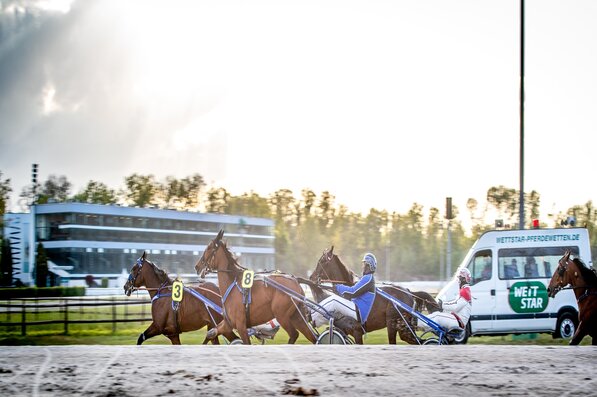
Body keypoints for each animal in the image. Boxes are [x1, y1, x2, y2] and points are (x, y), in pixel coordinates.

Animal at [310, 244, 440, 344]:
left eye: (322, 261)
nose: (311, 277)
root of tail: (408, 291)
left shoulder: (357, 332)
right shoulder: (343, 330)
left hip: (394, 324)